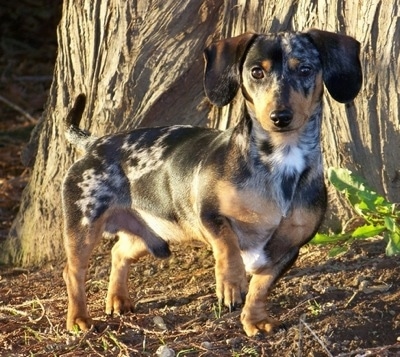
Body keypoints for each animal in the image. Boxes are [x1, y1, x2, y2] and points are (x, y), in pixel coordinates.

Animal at [62, 28, 362, 336]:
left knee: (118, 252)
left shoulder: (288, 247)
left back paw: (117, 299)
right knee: (73, 272)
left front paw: (254, 320)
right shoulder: (210, 214)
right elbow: (228, 247)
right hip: (83, 226)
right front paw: (231, 285)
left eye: (305, 69)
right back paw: (78, 319)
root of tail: (94, 143)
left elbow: (260, 287)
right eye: (256, 72)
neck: (280, 160)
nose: (280, 117)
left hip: (151, 234)